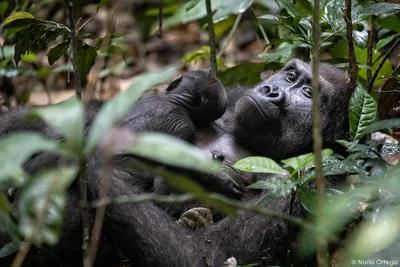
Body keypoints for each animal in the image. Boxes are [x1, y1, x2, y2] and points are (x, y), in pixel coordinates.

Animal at [0, 59, 354, 266]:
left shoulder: (309, 183)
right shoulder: (237, 95)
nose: (271, 90)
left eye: (308, 93)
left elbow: (205, 254)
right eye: (290, 75)